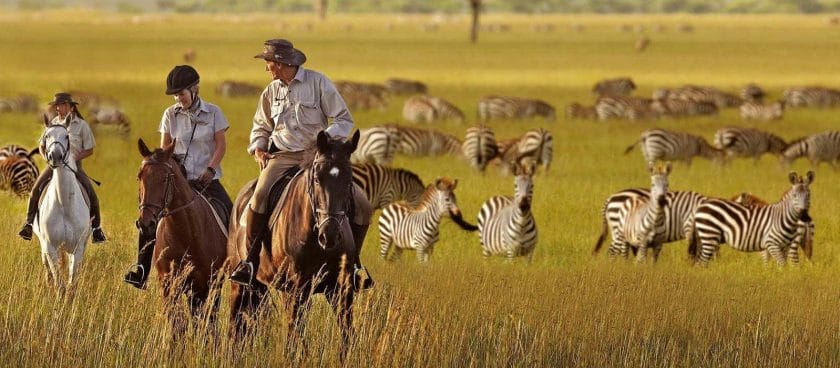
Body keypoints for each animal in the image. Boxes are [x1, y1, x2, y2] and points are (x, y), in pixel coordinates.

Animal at [34, 121, 91, 294]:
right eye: (47, 136)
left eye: (66, 136)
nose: (56, 156)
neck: (64, 203)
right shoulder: (50, 246)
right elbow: (59, 283)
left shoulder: (77, 249)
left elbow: (72, 285)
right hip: (46, 247)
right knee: (48, 272)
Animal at [138, 139, 230, 334]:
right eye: (139, 176)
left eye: (166, 178)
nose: (146, 224)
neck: (186, 233)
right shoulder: (168, 285)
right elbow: (177, 326)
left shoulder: (209, 283)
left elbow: (207, 323)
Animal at [228, 129, 362, 356]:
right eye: (317, 178)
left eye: (349, 180)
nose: (329, 235)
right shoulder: (294, 290)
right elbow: (294, 339)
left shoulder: (341, 290)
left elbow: (347, 337)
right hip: (241, 285)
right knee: (235, 325)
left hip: (260, 286)